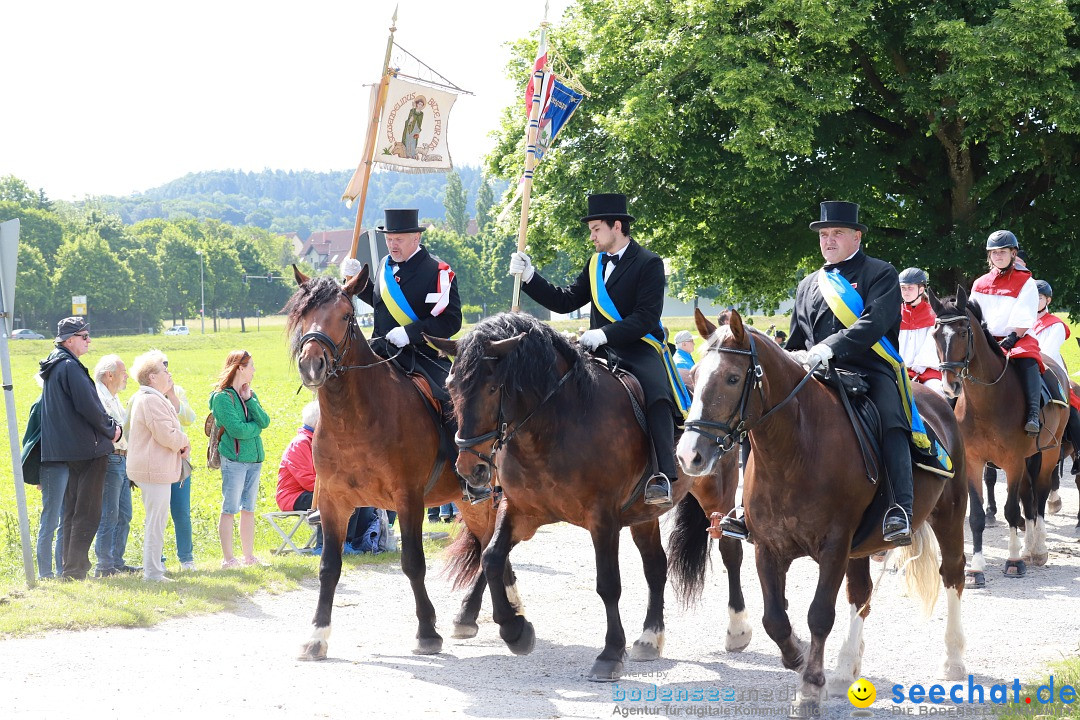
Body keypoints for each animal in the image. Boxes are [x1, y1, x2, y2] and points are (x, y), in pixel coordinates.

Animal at [289, 264, 503, 660]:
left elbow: (413, 563)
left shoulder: (408, 500)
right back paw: (469, 615)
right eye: (301, 315)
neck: (353, 420)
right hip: (470, 501)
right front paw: (317, 635)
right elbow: (329, 566)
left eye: (346, 316)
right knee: (485, 546)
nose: (312, 365)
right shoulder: (332, 503)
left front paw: (427, 632)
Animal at [425, 313, 747, 682]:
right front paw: (515, 630)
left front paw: (610, 654)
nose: (470, 468)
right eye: (450, 387)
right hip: (644, 515)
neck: (552, 427)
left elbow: (608, 584)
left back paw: (738, 629)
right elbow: (491, 558)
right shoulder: (521, 511)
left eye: (492, 388)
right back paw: (650, 637)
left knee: (730, 552)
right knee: (656, 567)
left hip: (717, 495)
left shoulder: (602, 519)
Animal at [673, 310, 972, 716]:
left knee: (952, 574)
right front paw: (798, 658)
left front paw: (811, 687)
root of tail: (937, 400)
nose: (689, 455)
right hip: (861, 547)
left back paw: (953, 660)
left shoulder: (834, 547)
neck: (794, 450)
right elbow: (774, 618)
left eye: (733, 378)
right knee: (861, 595)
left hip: (949, 515)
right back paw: (846, 669)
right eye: (694, 373)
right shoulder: (768, 548)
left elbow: (819, 614)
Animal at [928, 287, 1071, 574]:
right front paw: (977, 566)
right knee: (1028, 497)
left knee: (1039, 495)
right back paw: (1028, 548)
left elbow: (1011, 510)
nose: (950, 386)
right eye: (936, 334)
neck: (987, 401)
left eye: (963, 332)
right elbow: (977, 515)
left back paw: (1038, 549)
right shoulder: (974, 460)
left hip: (1050, 452)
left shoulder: (1013, 461)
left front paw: (1013, 560)